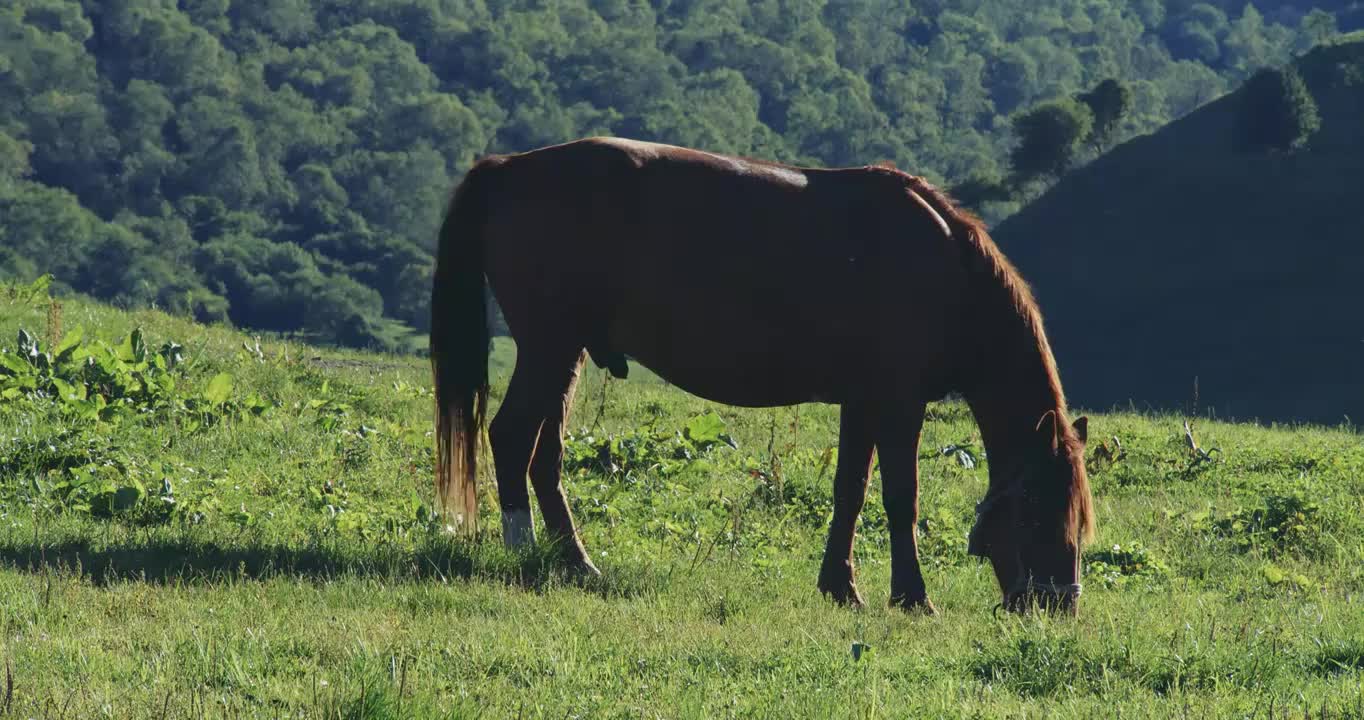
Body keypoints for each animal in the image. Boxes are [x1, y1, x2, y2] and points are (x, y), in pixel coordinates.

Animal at [436, 137, 1096, 616]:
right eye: (1039, 511)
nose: (1058, 606)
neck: (946, 272)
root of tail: (509, 168)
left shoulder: (863, 402)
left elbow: (851, 492)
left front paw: (840, 586)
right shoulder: (899, 403)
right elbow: (899, 497)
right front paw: (912, 596)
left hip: (565, 356)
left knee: (545, 456)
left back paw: (575, 562)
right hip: (548, 349)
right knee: (511, 439)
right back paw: (523, 552)